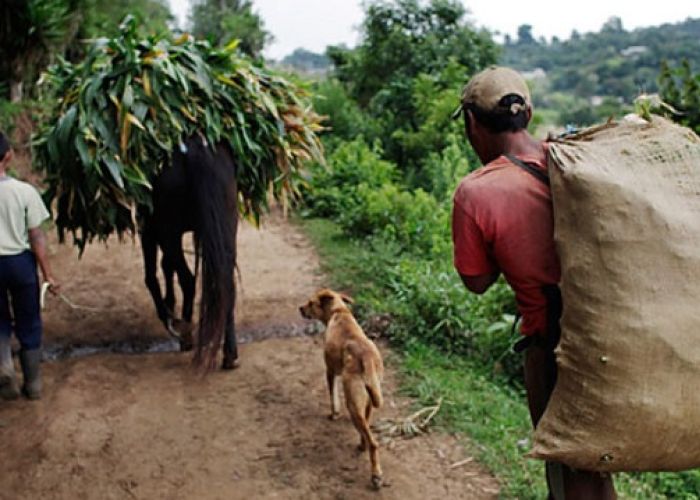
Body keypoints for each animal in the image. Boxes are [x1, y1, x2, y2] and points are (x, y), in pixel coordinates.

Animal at [141, 136, 239, 368]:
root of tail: (196, 148)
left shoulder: (150, 227)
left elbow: (152, 275)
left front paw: (167, 312)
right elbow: (166, 266)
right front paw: (169, 302)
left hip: (167, 230)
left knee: (188, 279)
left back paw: (185, 334)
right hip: (227, 223)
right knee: (226, 283)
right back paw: (230, 354)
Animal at [300, 290, 386, 488]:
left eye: (310, 303)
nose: (300, 308)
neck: (339, 311)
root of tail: (366, 358)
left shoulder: (330, 371)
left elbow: (333, 397)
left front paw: (334, 414)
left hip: (352, 404)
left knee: (373, 442)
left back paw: (376, 475)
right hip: (367, 401)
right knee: (366, 430)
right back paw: (362, 446)